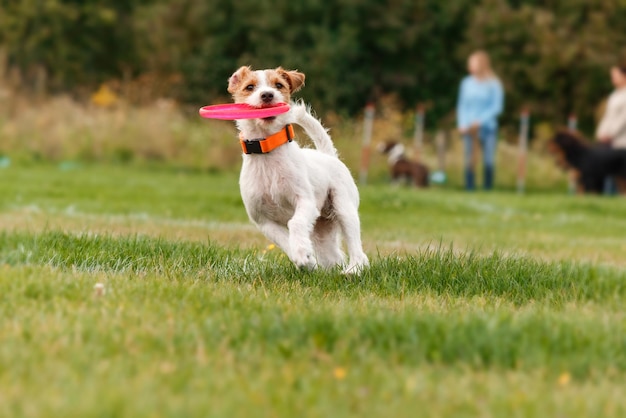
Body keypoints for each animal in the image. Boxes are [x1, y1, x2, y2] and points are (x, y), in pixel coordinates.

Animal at [227, 66, 368, 274]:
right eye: (249, 87)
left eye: (279, 85)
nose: (267, 95)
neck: (267, 151)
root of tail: (328, 155)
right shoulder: (263, 220)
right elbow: (284, 240)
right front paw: (305, 259)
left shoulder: (305, 202)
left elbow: (295, 223)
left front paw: (301, 252)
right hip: (321, 231)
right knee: (333, 256)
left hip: (344, 207)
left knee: (357, 248)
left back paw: (354, 270)